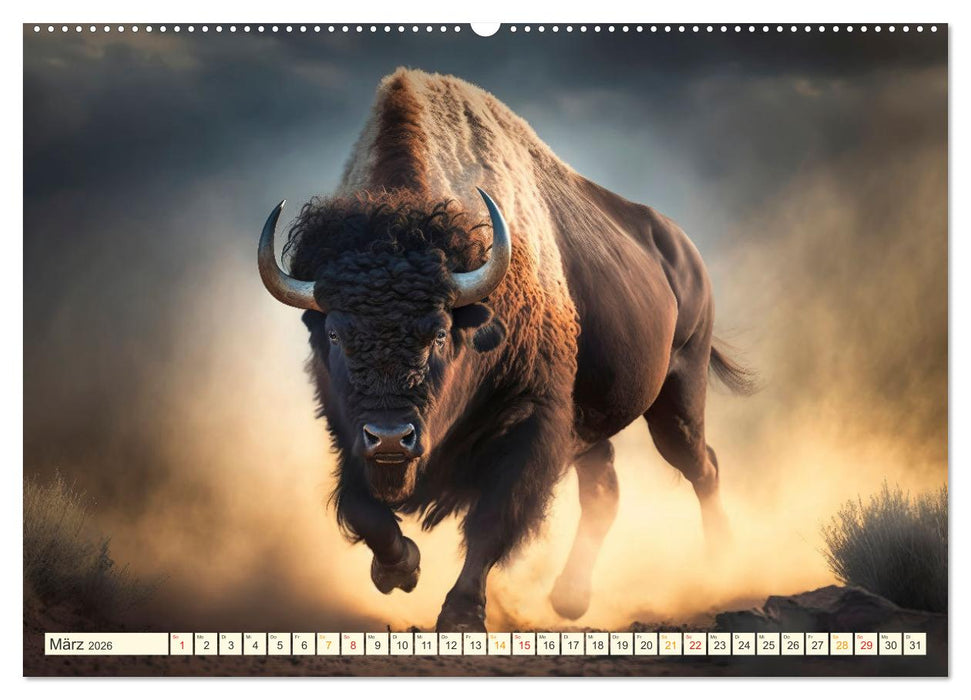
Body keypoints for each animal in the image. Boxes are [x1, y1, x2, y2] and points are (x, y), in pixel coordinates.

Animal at [258, 69, 752, 632]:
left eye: (440, 332)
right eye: (336, 334)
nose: (390, 438)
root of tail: (684, 254)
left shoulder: (530, 419)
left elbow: (493, 520)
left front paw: (461, 616)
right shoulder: (346, 429)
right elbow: (362, 509)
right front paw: (399, 570)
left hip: (678, 397)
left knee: (702, 465)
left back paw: (722, 566)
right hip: (592, 427)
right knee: (605, 491)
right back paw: (570, 598)